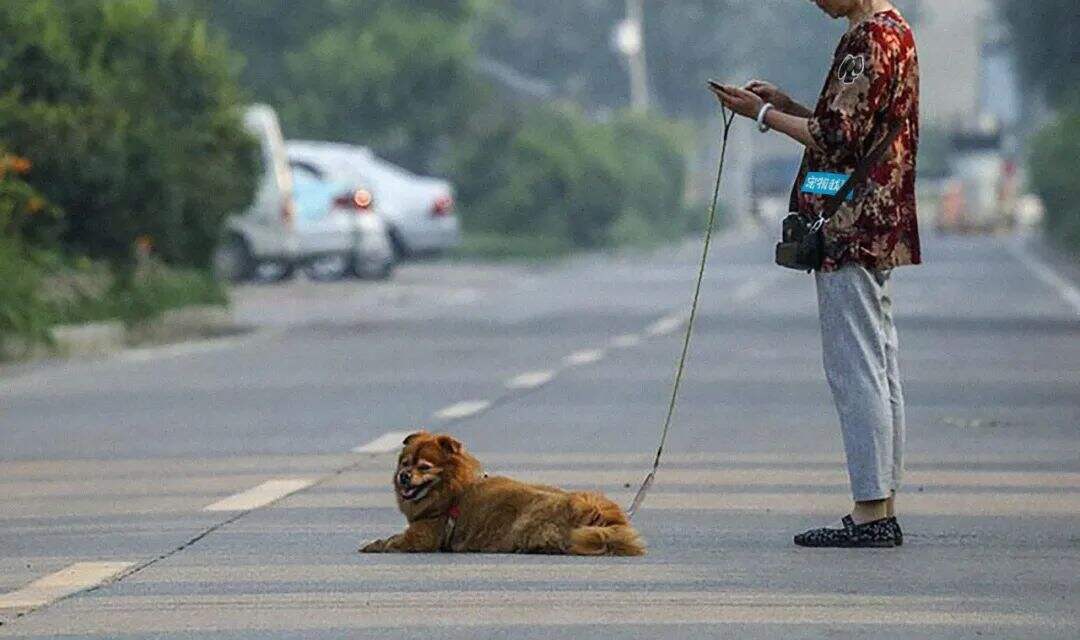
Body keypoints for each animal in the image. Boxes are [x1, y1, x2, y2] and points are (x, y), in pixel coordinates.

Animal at [362, 431, 643, 556]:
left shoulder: (423, 535)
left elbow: (393, 541)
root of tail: (593, 511)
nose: (403, 476)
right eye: (405, 463)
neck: (454, 489)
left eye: (423, 467)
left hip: (527, 523)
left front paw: (374, 545)